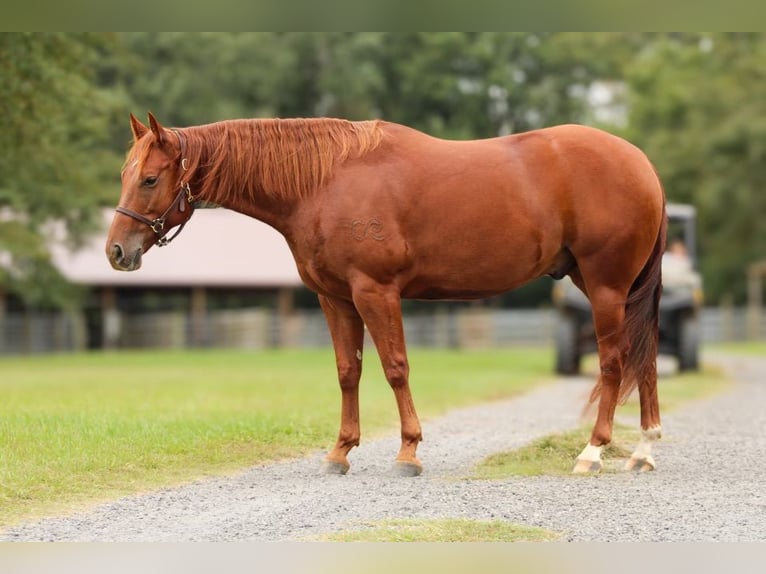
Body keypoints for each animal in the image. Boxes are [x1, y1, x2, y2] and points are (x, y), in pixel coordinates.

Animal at [106, 112, 664, 476]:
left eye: (150, 179)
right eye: (125, 174)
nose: (116, 251)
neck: (324, 181)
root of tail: (642, 164)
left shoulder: (375, 292)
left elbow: (395, 367)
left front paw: (408, 452)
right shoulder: (334, 299)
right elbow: (347, 372)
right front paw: (340, 452)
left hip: (606, 286)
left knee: (614, 362)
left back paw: (593, 452)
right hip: (611, 287)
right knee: (646, 359)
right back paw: (644, 449)